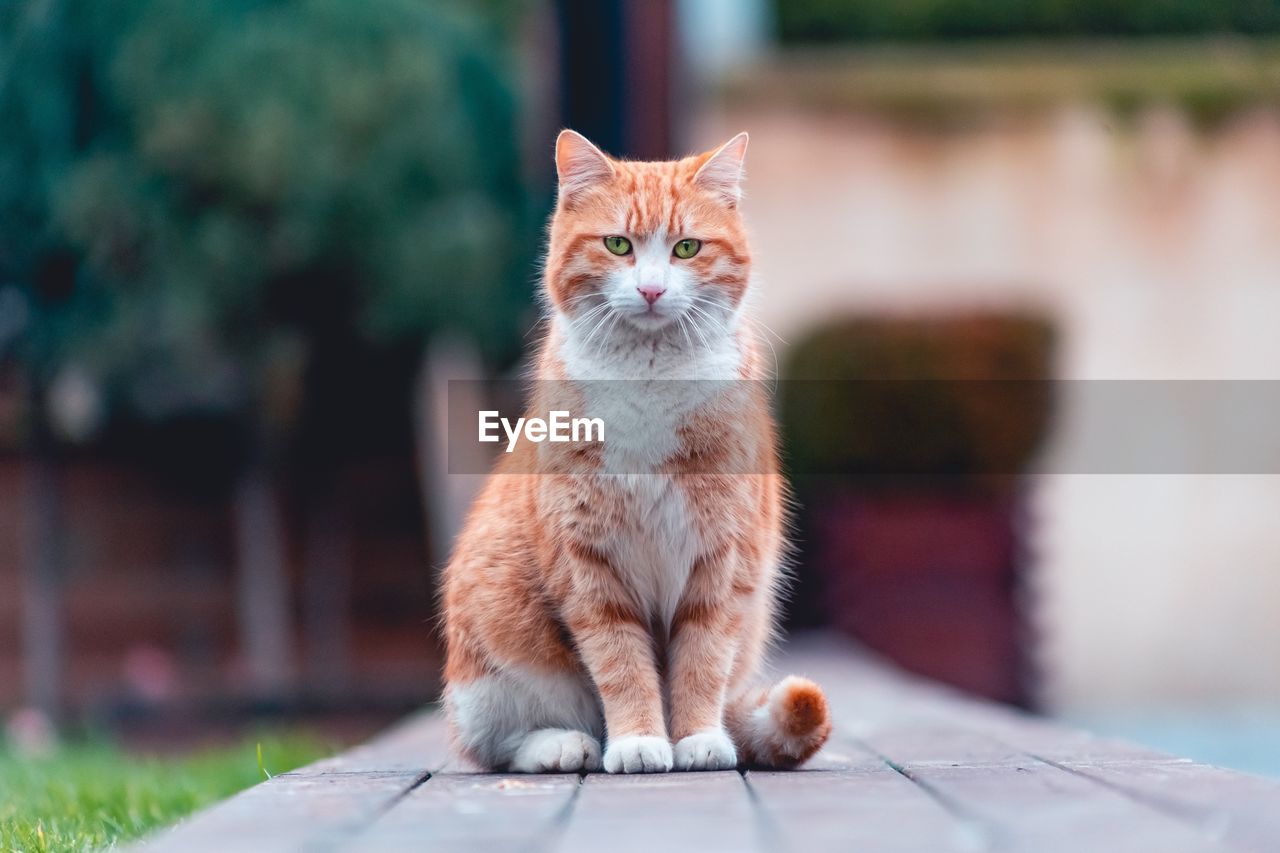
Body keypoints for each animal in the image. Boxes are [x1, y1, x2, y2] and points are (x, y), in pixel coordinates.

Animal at [445, 131, 834, 768]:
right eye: (618, 245)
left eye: (687, 248)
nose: (651, 289)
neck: (650, 383)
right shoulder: (589, 565)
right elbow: (622, 663)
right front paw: (640, 740)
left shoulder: (723, 560)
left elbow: (702, 660)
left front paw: (697, 737)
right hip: (491, 644)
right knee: (496, 743)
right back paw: (564, 745)